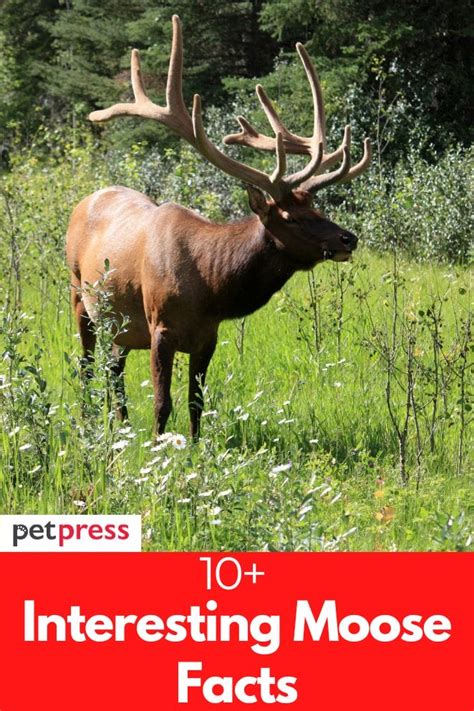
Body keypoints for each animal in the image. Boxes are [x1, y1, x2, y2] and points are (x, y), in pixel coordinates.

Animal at [66, 15, 371, 440]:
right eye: (292, 217)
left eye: (318, 207)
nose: (348, 238)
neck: (209, 286)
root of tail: (86, 200)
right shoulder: (160, 327)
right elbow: (163, 403)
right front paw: (159, 447)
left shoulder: (208, 336)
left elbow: (197, 403)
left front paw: (195, 447)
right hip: (79, 295)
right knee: (87, 365)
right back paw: (89, 422)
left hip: (120, 325)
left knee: (114, 367)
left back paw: (122, 425)